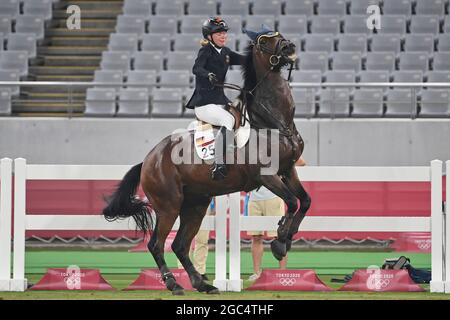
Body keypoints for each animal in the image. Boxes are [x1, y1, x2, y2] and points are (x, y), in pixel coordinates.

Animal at [103, 31, 312, 296]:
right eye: (264, 41)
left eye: (280, 35)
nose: (290, 47)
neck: (273, 121)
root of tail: (150, 159)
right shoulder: (267, 175)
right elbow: (292, 202)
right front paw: (279, 241)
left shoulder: (288, 170)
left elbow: (304, 201)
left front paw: (287, 238)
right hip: (169, 206)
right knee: (157, 244)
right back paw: (173, 284)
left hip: (195, 205)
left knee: (180, 245)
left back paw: (202, 284)